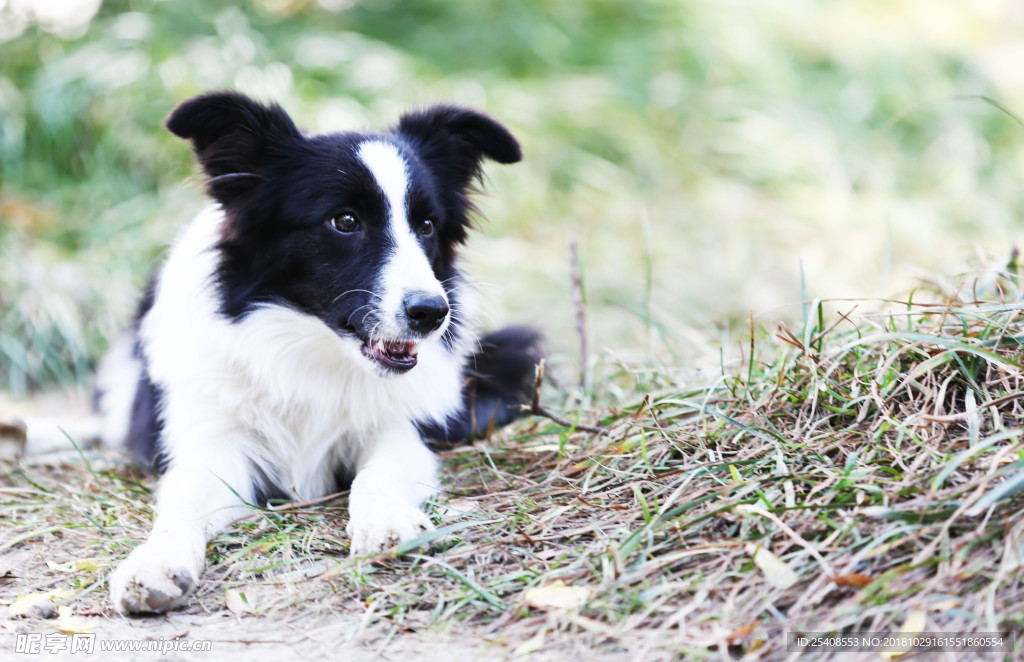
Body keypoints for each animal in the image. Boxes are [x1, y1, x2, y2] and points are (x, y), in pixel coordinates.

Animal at [99, 93, 540, 618]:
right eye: (345, 221)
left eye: (428, 225)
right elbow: (184, 501)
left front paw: (386, 521)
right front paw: (155, 562)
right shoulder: (213, 442)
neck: (312, 349)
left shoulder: (401, 427)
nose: (433, 313)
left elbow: (376, 474)